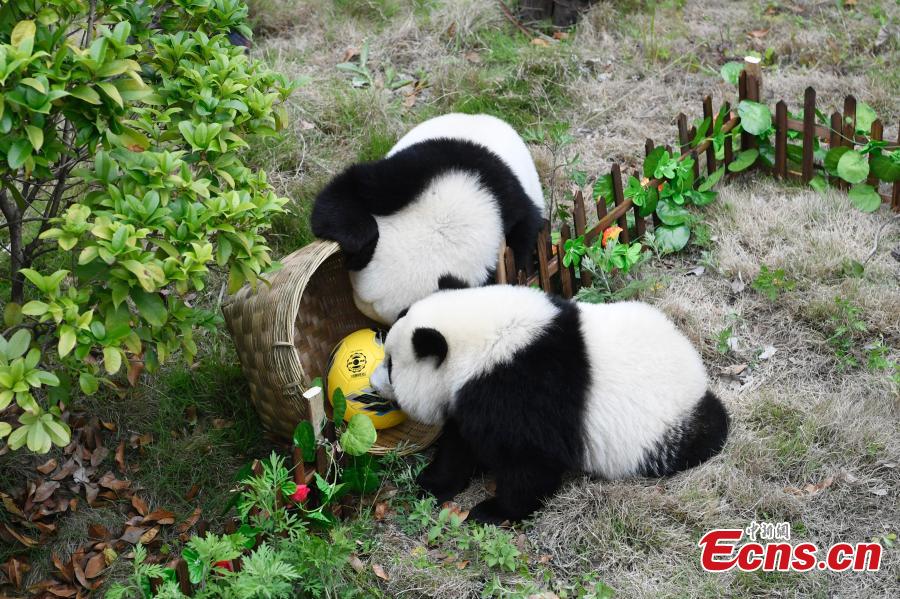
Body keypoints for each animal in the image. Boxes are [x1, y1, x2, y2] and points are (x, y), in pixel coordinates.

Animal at [370, 286, 728, 524]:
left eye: (390, 365)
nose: (373, 384)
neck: (484, 345)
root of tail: (697, 373)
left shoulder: (521, 392)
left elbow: (530, 462)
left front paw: (492, 510)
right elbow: (460, 444)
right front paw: (432, 484)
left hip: (663, 428)